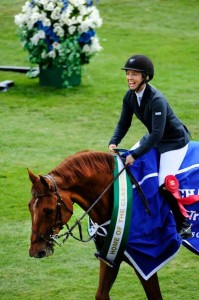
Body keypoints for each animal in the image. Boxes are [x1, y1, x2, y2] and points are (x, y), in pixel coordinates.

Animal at [28, 150, 162, 300]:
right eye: (29, 206)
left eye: (49, 211)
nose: (35, 251)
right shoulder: (110, 255)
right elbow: (101, 294)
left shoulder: (146, 263)